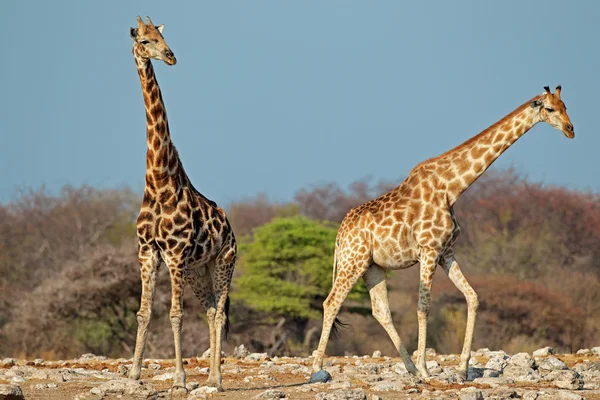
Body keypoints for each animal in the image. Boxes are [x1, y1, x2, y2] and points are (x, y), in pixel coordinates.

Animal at [129, 17, 237, 392]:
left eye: (162, 37)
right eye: (144, 40)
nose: (171, 56)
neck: (159, 182)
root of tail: (232, 232)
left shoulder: (174, 254)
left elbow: (175, 315)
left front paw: (179, 379)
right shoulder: (148, 252)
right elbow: (144, 312)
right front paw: (133, 374)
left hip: (222, 263)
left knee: (220, 313)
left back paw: (217, 379)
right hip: (196, 271)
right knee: (210, 310)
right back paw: (213, 375)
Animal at [312, 86, 576, 382]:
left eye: (566, 106)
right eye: (550, 109)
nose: (570, 129)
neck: (452, 187)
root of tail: (339, 234)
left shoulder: (446, 252)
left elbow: (473, 297)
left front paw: (461, 369)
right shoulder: (429, 250)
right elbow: (423, 306)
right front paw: (427, 369)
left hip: (373, 267)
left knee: (381, 311)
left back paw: (410, 369)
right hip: (352, 261)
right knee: (331, 302)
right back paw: (317, 367)